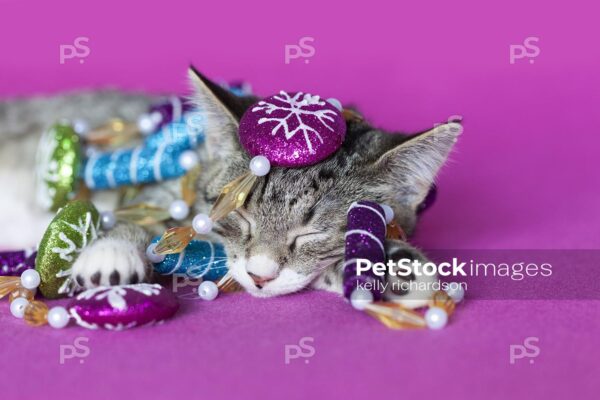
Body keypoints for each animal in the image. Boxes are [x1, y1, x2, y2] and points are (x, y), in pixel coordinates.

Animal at [0, 69, 462, 306]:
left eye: (311, 233)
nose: (259, 275)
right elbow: (129, 214)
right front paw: (111, 251)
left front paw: (398, 266)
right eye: (239, 214)